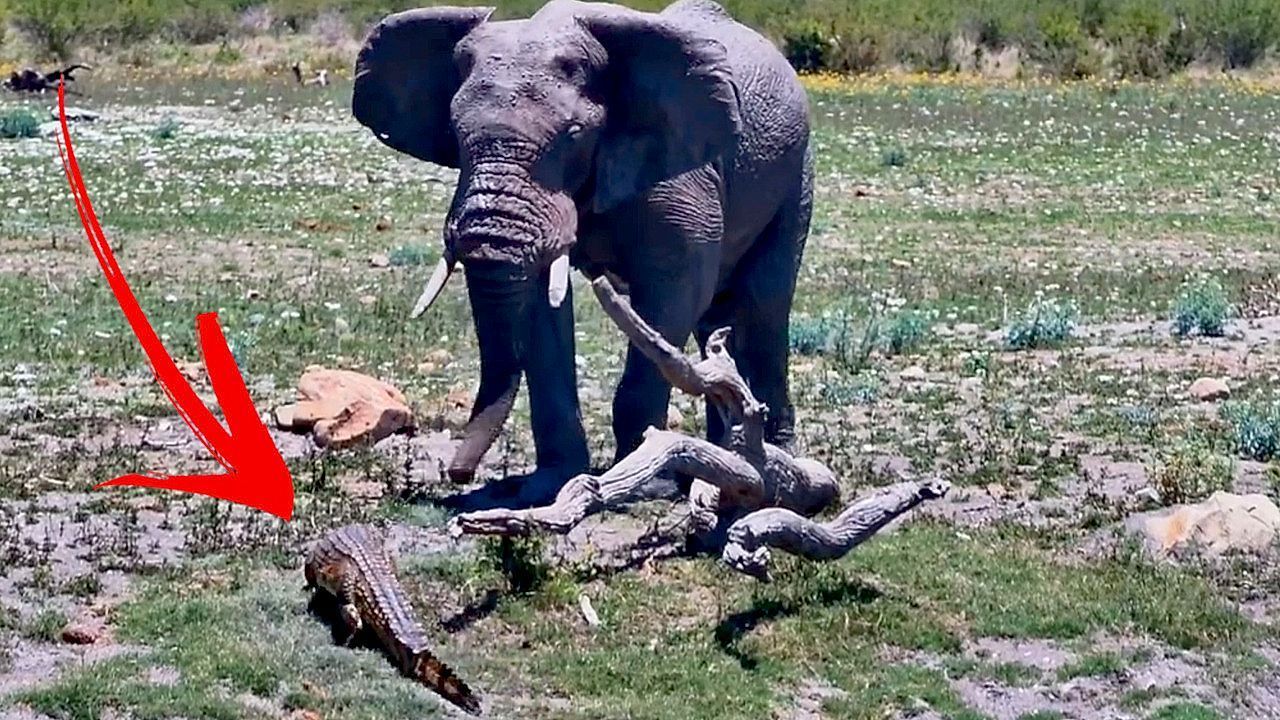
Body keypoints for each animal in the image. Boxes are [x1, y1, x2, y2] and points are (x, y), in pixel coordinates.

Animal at [352, 0, 812, 494]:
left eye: (573, 135)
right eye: (455, 136)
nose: (457, 474)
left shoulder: (682, 171)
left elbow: (674, 289)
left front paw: (647, 482)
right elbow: (540, 303)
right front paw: (549, 484)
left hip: (797, 168)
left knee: (763, 302)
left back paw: (772, 459)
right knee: (718, 319)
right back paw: (726, 453)